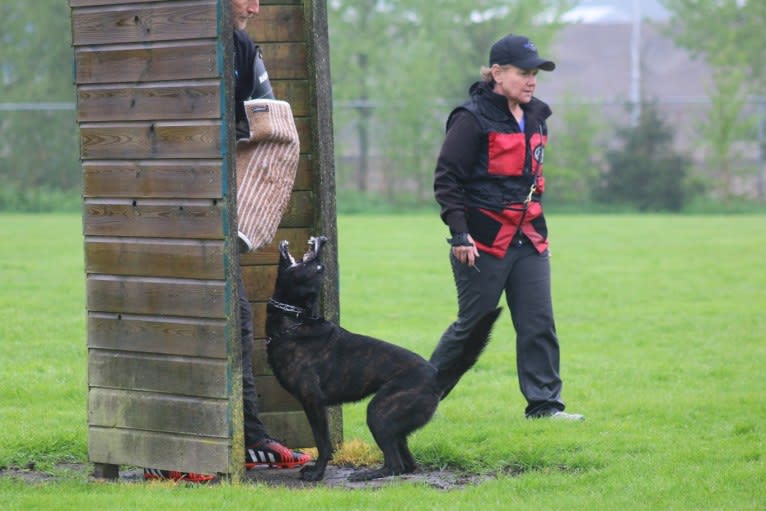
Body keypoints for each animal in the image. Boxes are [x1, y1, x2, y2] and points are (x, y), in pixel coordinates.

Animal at [268, 237, 500, 484]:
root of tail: (437, 376)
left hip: (378, 413)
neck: (295, 319)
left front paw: (317, 473)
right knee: (408, 465)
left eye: (319, 267)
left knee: (395, 464)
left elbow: (323, 442)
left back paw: (366, 474)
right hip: (393, 424)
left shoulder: (313, 401)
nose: (322, 240)